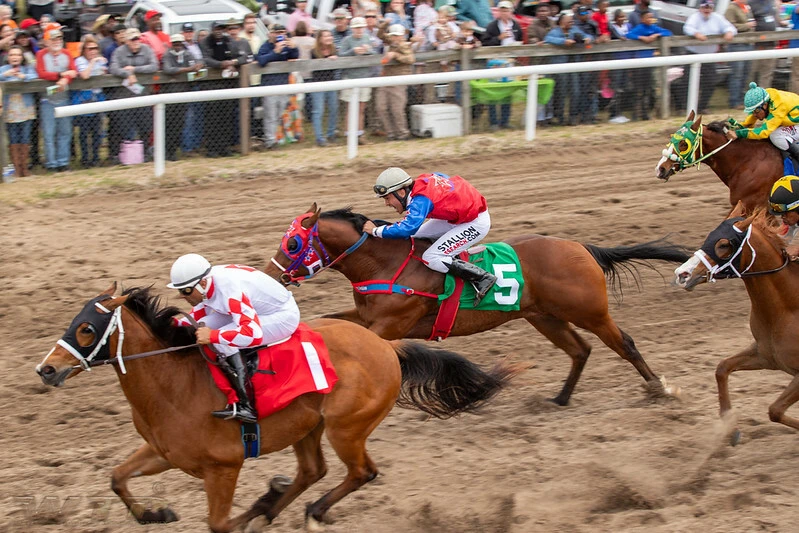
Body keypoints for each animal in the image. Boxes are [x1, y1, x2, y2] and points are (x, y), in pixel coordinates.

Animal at [34, 284, 514, 532]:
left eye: (86, 328)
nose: (46, 369)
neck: (172, 383)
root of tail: (387, 347)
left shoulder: (223, 466)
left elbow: (220, 524)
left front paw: (249, 511)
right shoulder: (163, 452)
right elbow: (117, 478)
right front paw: (157, 512)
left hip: (346, 427)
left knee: (361, 472)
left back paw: (307, 510)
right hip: (309, 427)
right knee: (313, 470)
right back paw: (274, 505)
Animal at [264, 204, 691, 407]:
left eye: (293, 243)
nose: (271, 275)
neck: (384, 263)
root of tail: (583, 247)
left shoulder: (390, 326)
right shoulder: (365, 316)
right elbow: (330, 324)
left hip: (590, 312)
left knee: (625, 344)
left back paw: (661, 390)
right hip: (545, 317)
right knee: (580, 350)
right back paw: (559, 399)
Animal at [674, 212, 799, 441]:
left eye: (723, 244)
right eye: (709, 236)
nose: (682, 273)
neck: (787, 309)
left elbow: (775, 410)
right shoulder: (766, 355)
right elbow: (722, 368)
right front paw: (730, 428)